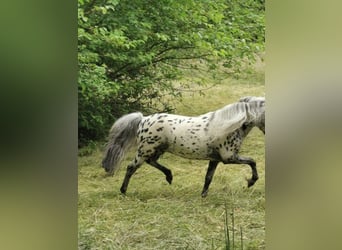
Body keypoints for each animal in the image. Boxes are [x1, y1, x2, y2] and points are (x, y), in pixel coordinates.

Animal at [101, 96, 264, 196]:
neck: (229, 125)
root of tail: (143, 119)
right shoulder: (229, 157)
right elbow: (252, 161)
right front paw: (251, 182)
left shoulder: (215, 159)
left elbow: (208, 177)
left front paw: (203, 195)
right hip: (145, 150)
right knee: (131, 168)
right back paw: (123, 191)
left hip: (157, 149)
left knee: (151, 162)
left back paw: (169, 176)